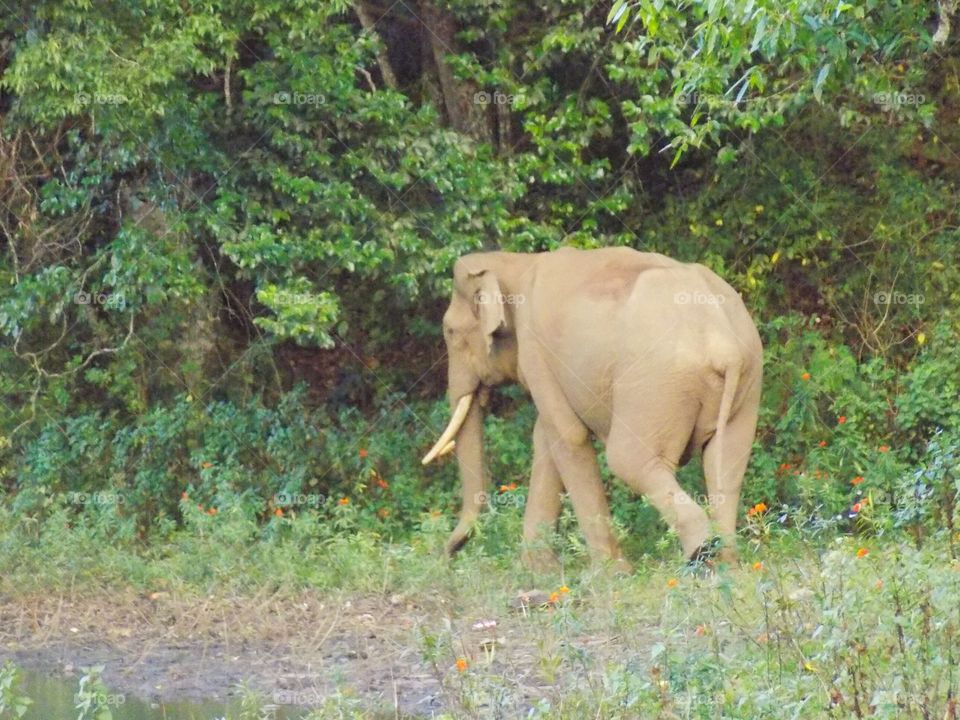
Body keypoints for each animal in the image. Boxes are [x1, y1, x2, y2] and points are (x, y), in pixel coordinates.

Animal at [422, 247, 763, 571]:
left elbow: (567, 435)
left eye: (450, 332)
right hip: (745, 384)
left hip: (655, 383)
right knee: (726, 462)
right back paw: (729, 564)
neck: (515, 263)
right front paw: (540, 570)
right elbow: (545, 438)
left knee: (628, 460)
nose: (448, 554)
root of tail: (722, 344)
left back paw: (701, 557)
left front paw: (610, 575)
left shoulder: (535, 352)